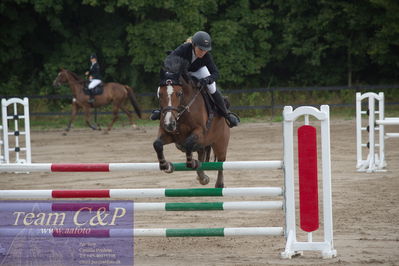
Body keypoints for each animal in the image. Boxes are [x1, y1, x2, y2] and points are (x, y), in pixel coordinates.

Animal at [153, 55, 230, 188]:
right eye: (160, 94)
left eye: (179, 93)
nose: (169, 124)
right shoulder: (168, 134)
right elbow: (157, 144)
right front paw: (166, 165)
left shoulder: (199, 131)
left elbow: (188, 143)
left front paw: (191, 162)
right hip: (202, 144)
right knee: (201, 154)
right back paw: (202, 177)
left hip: (220, 142)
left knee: (221, 162)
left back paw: (218, 183)